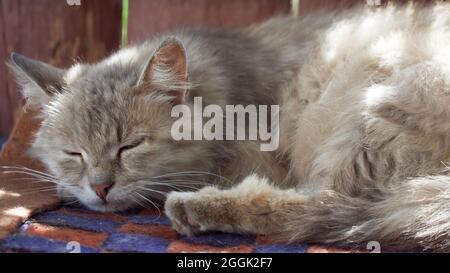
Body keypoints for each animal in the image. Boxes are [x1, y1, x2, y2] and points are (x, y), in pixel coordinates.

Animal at [6, 3, 450, 251]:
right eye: (74, 153)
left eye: (129, 146)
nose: (99, 188)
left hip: (366, 107)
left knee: (319, 204)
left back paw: (198, 208)